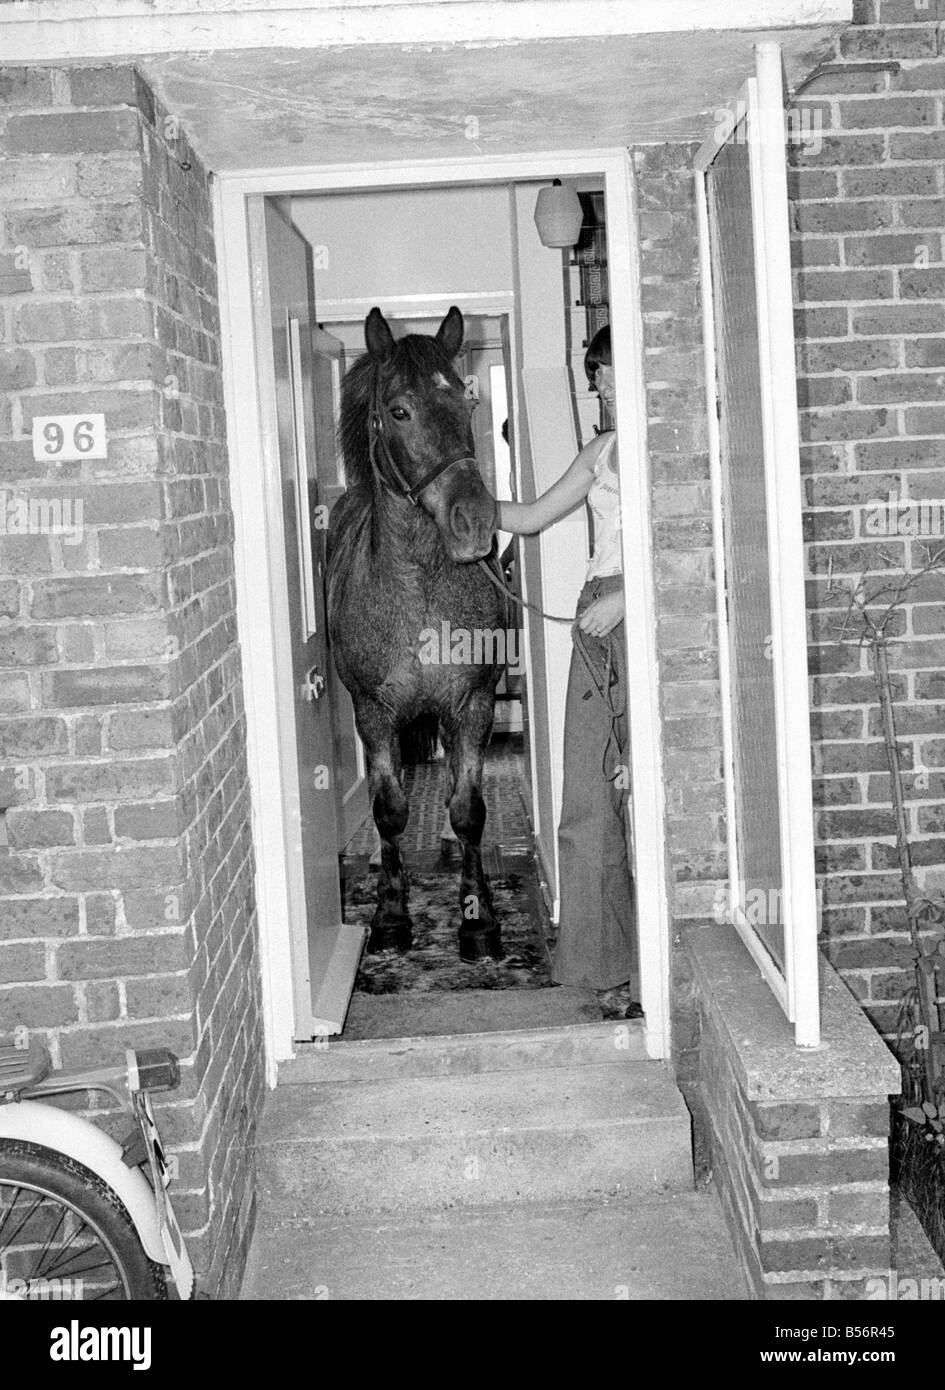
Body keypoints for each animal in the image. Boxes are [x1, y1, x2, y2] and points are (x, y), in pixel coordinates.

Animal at [326, 305, 508, 961]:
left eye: (466, 401)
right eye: (399, 410)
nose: (475, 521)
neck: (422, 587)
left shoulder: (473, 706)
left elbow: (469, 810)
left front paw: (477, 918)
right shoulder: (375, 714)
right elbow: (389, 813)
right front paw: (391, 915)